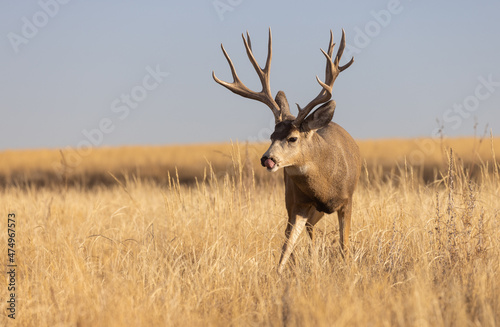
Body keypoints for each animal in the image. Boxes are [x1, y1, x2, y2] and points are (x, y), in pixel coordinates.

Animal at [211, 28, 360, 276]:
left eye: (292, 138)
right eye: (271, 136)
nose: (267, 159)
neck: (325, 187)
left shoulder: (347, 200)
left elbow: (344, 245)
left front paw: (349, 271)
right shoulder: (298, 203)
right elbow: (286, 247)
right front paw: (279, 274)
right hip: (292, 201)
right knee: (301, 233)